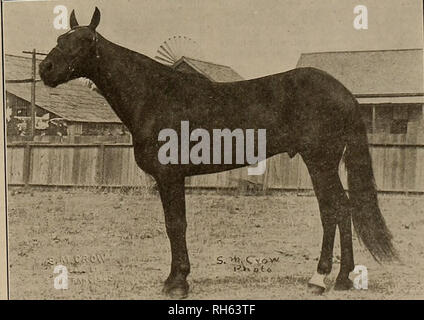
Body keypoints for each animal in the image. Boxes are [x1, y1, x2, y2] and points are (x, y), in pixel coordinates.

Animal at [39, 6, 398, 298]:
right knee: (342, 209)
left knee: (333, 210)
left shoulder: (170, 175)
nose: (46, 69)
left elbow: (176, 224)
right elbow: (174, 224)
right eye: (60, 37)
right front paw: (175, 278)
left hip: (320, 161)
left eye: (85, 41)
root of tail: (342, 92)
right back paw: (343, 279)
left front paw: (177, 283)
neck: (155, 95)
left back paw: (320, 279)